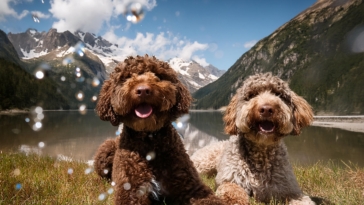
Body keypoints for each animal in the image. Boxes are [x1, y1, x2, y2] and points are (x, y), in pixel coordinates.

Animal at [92, 55, 232, 204]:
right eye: (127, 77)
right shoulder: (130, 191)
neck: (149, 140)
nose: (143, 90)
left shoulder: (192, 187)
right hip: (106, 149)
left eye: (158, 75)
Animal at [192, 73, 314, 204]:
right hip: (204, 163)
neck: (261, 154)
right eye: (252, 95)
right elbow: (234, 193)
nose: (266, 109)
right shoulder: (230, 180)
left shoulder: (289, 189)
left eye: (278, 94)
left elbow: (303, 200)